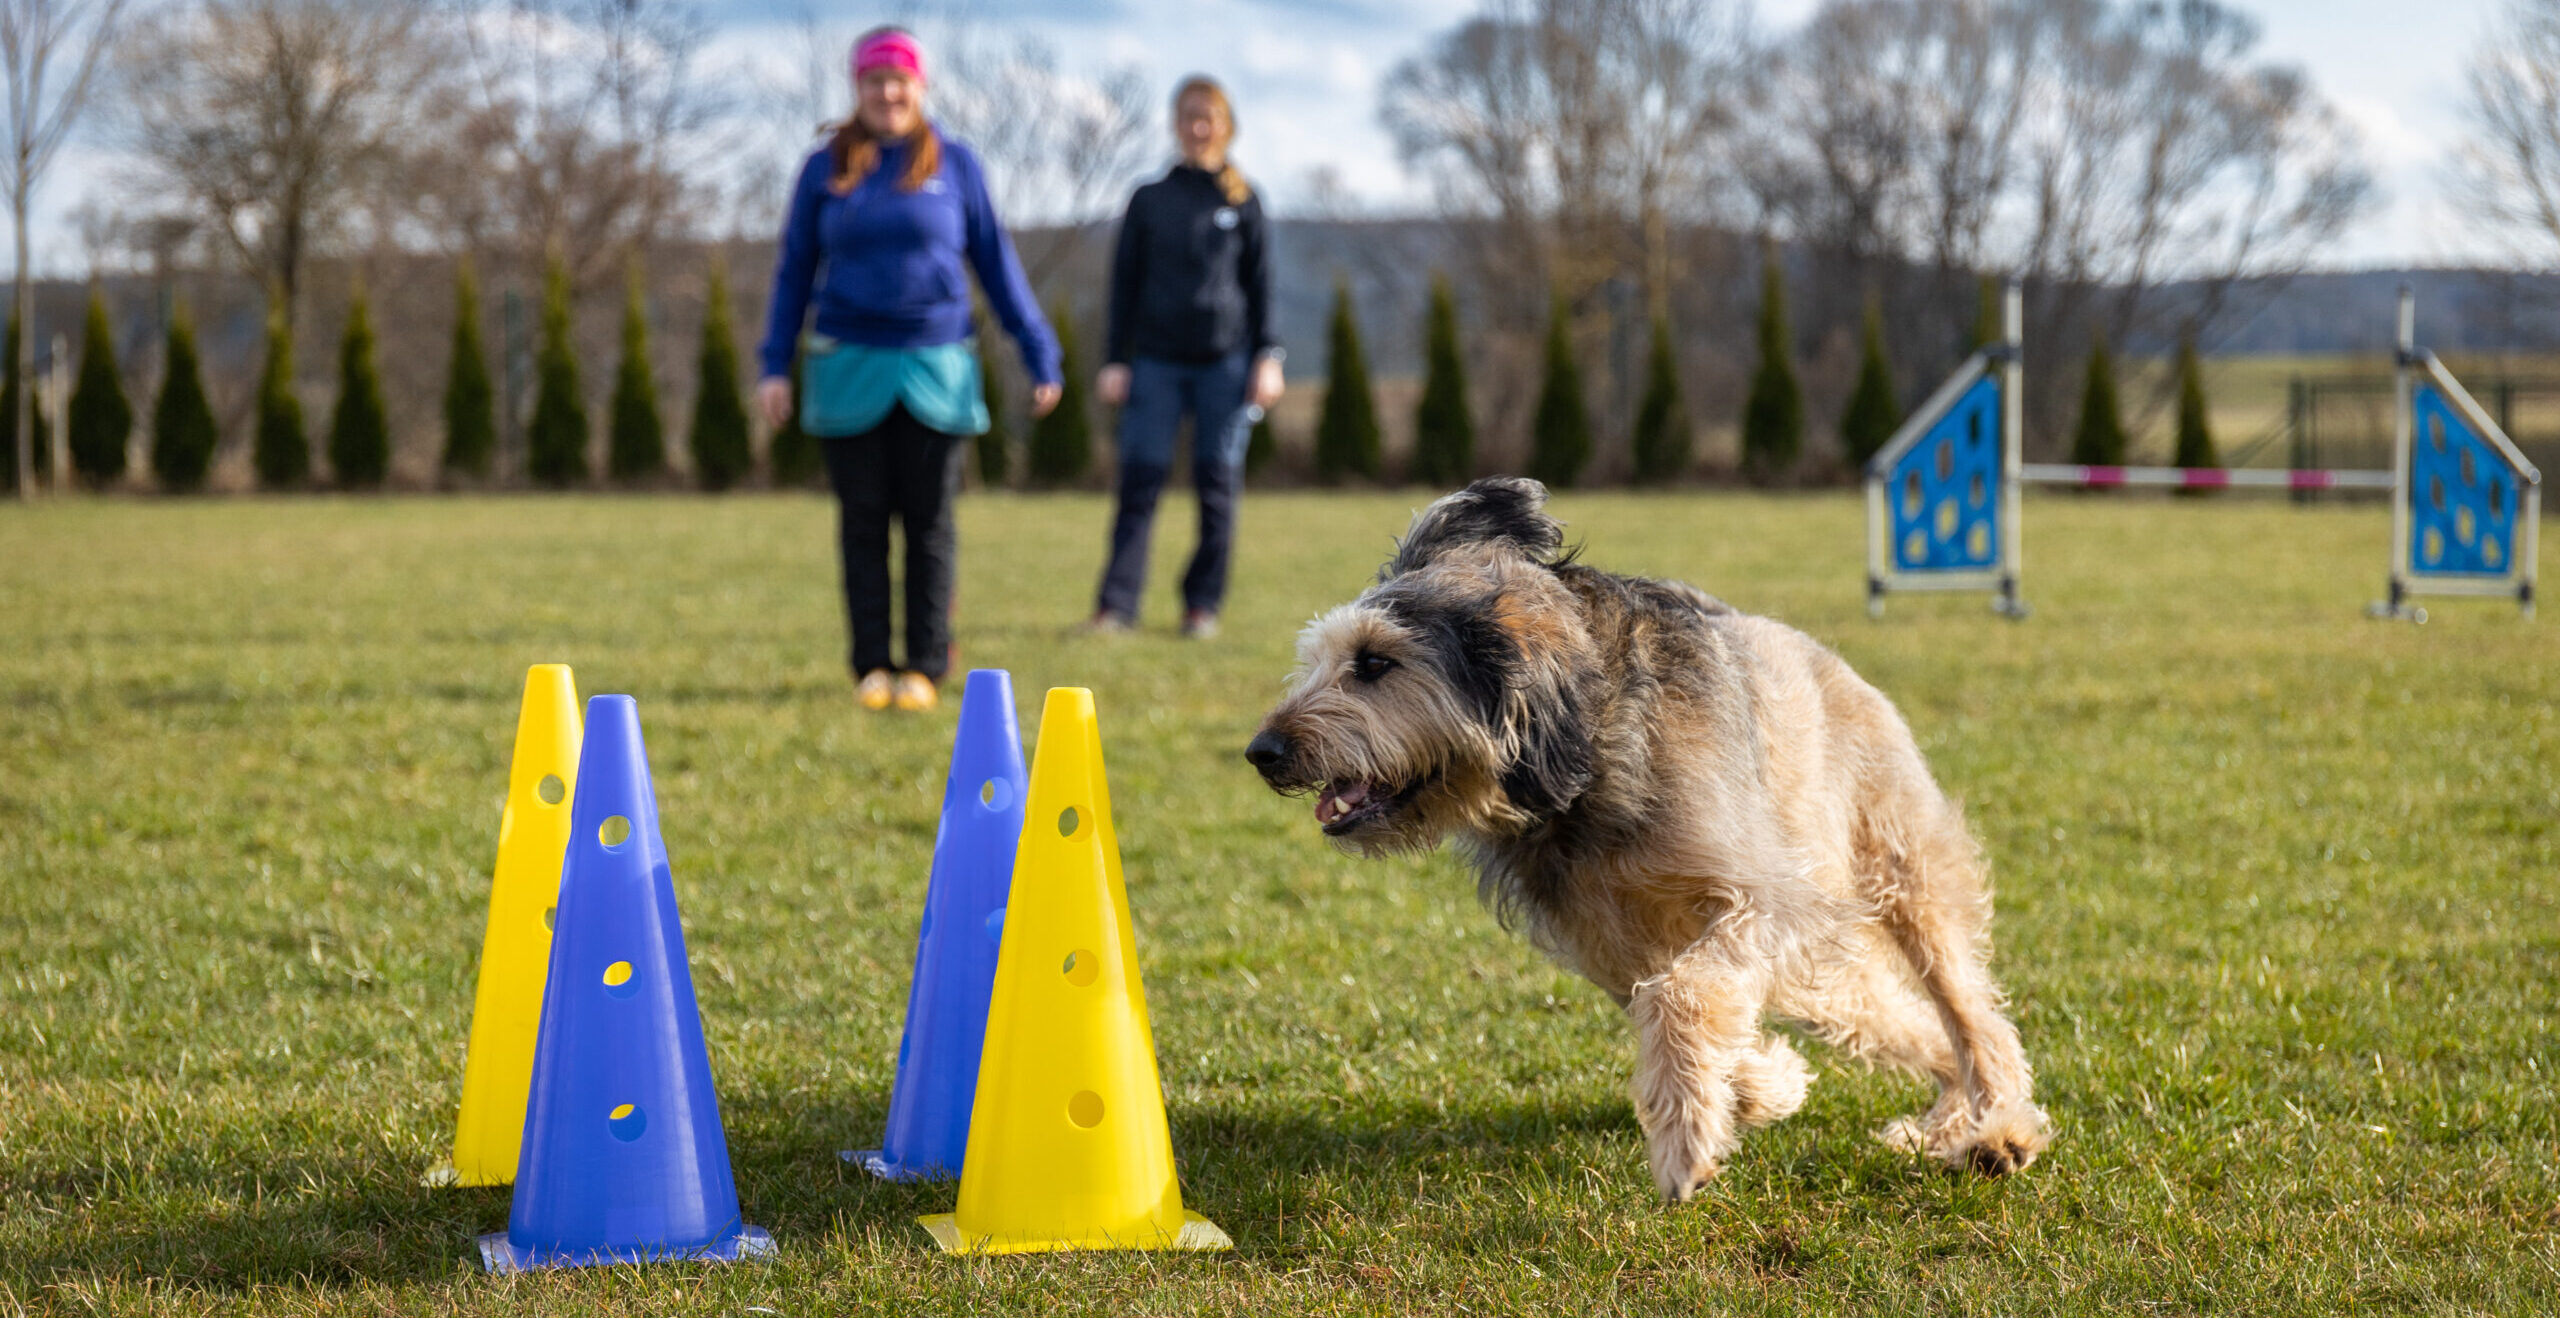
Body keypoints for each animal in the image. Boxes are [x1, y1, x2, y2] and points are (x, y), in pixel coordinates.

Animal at [1249, 478, 2048, 1202]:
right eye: (1319, 661)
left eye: (1374, 663)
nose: (1262, 752)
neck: (1582, 753)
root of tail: (1822, 656)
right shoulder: (1614, 944)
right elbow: (1677, 1007)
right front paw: (1763, 1085)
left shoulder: (1770, 899)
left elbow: (1681, 996)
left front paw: (1687, 1143)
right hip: (1820, 973)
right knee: (1901, 1017)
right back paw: (1942, 1117)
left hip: (1900, 873)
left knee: (1972, 1014)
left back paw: (1998, 1129)